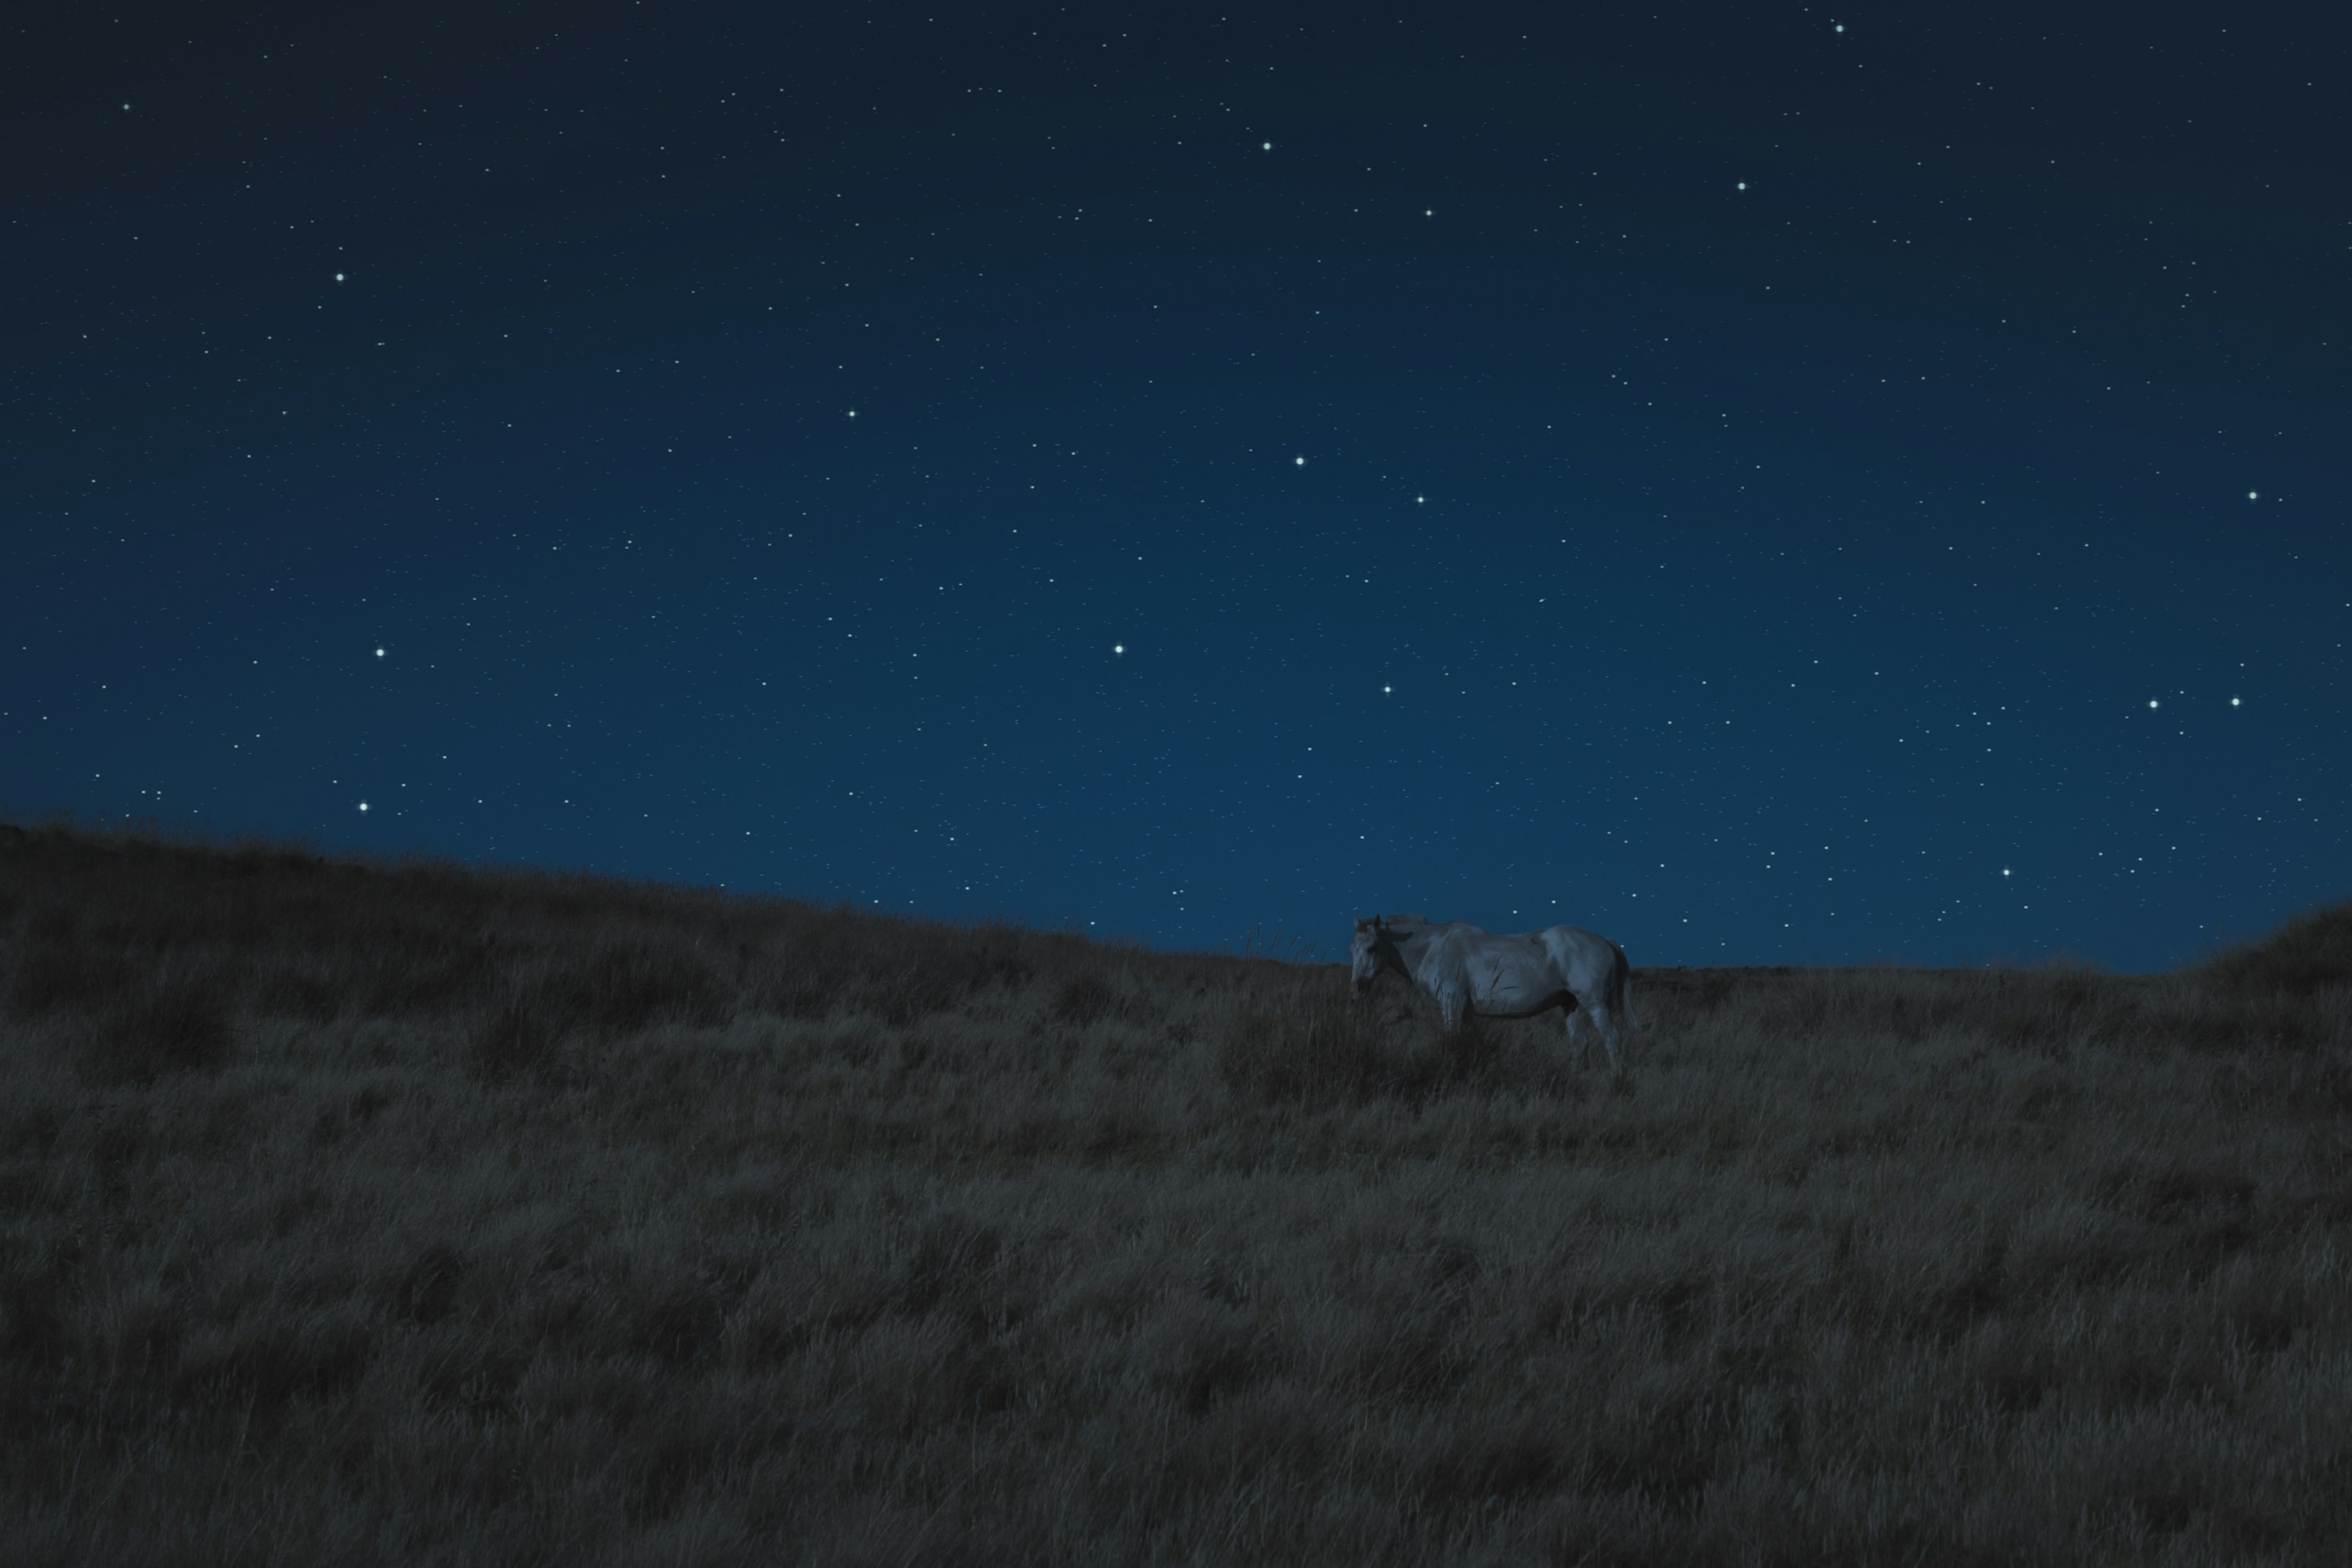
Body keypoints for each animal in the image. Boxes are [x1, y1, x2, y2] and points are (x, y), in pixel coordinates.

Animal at [1345, 912, 1637, 1071]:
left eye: (1371, 948)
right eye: (1351, 950)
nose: (1357, 988)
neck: (1433, 947)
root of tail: (1606, 941)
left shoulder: (1452, 1003)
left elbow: (1453, 1039)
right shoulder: (1465, 1009)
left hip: (1595, 1003)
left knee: (1613, 1040)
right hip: (1572, 1005)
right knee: (1579, 1045)